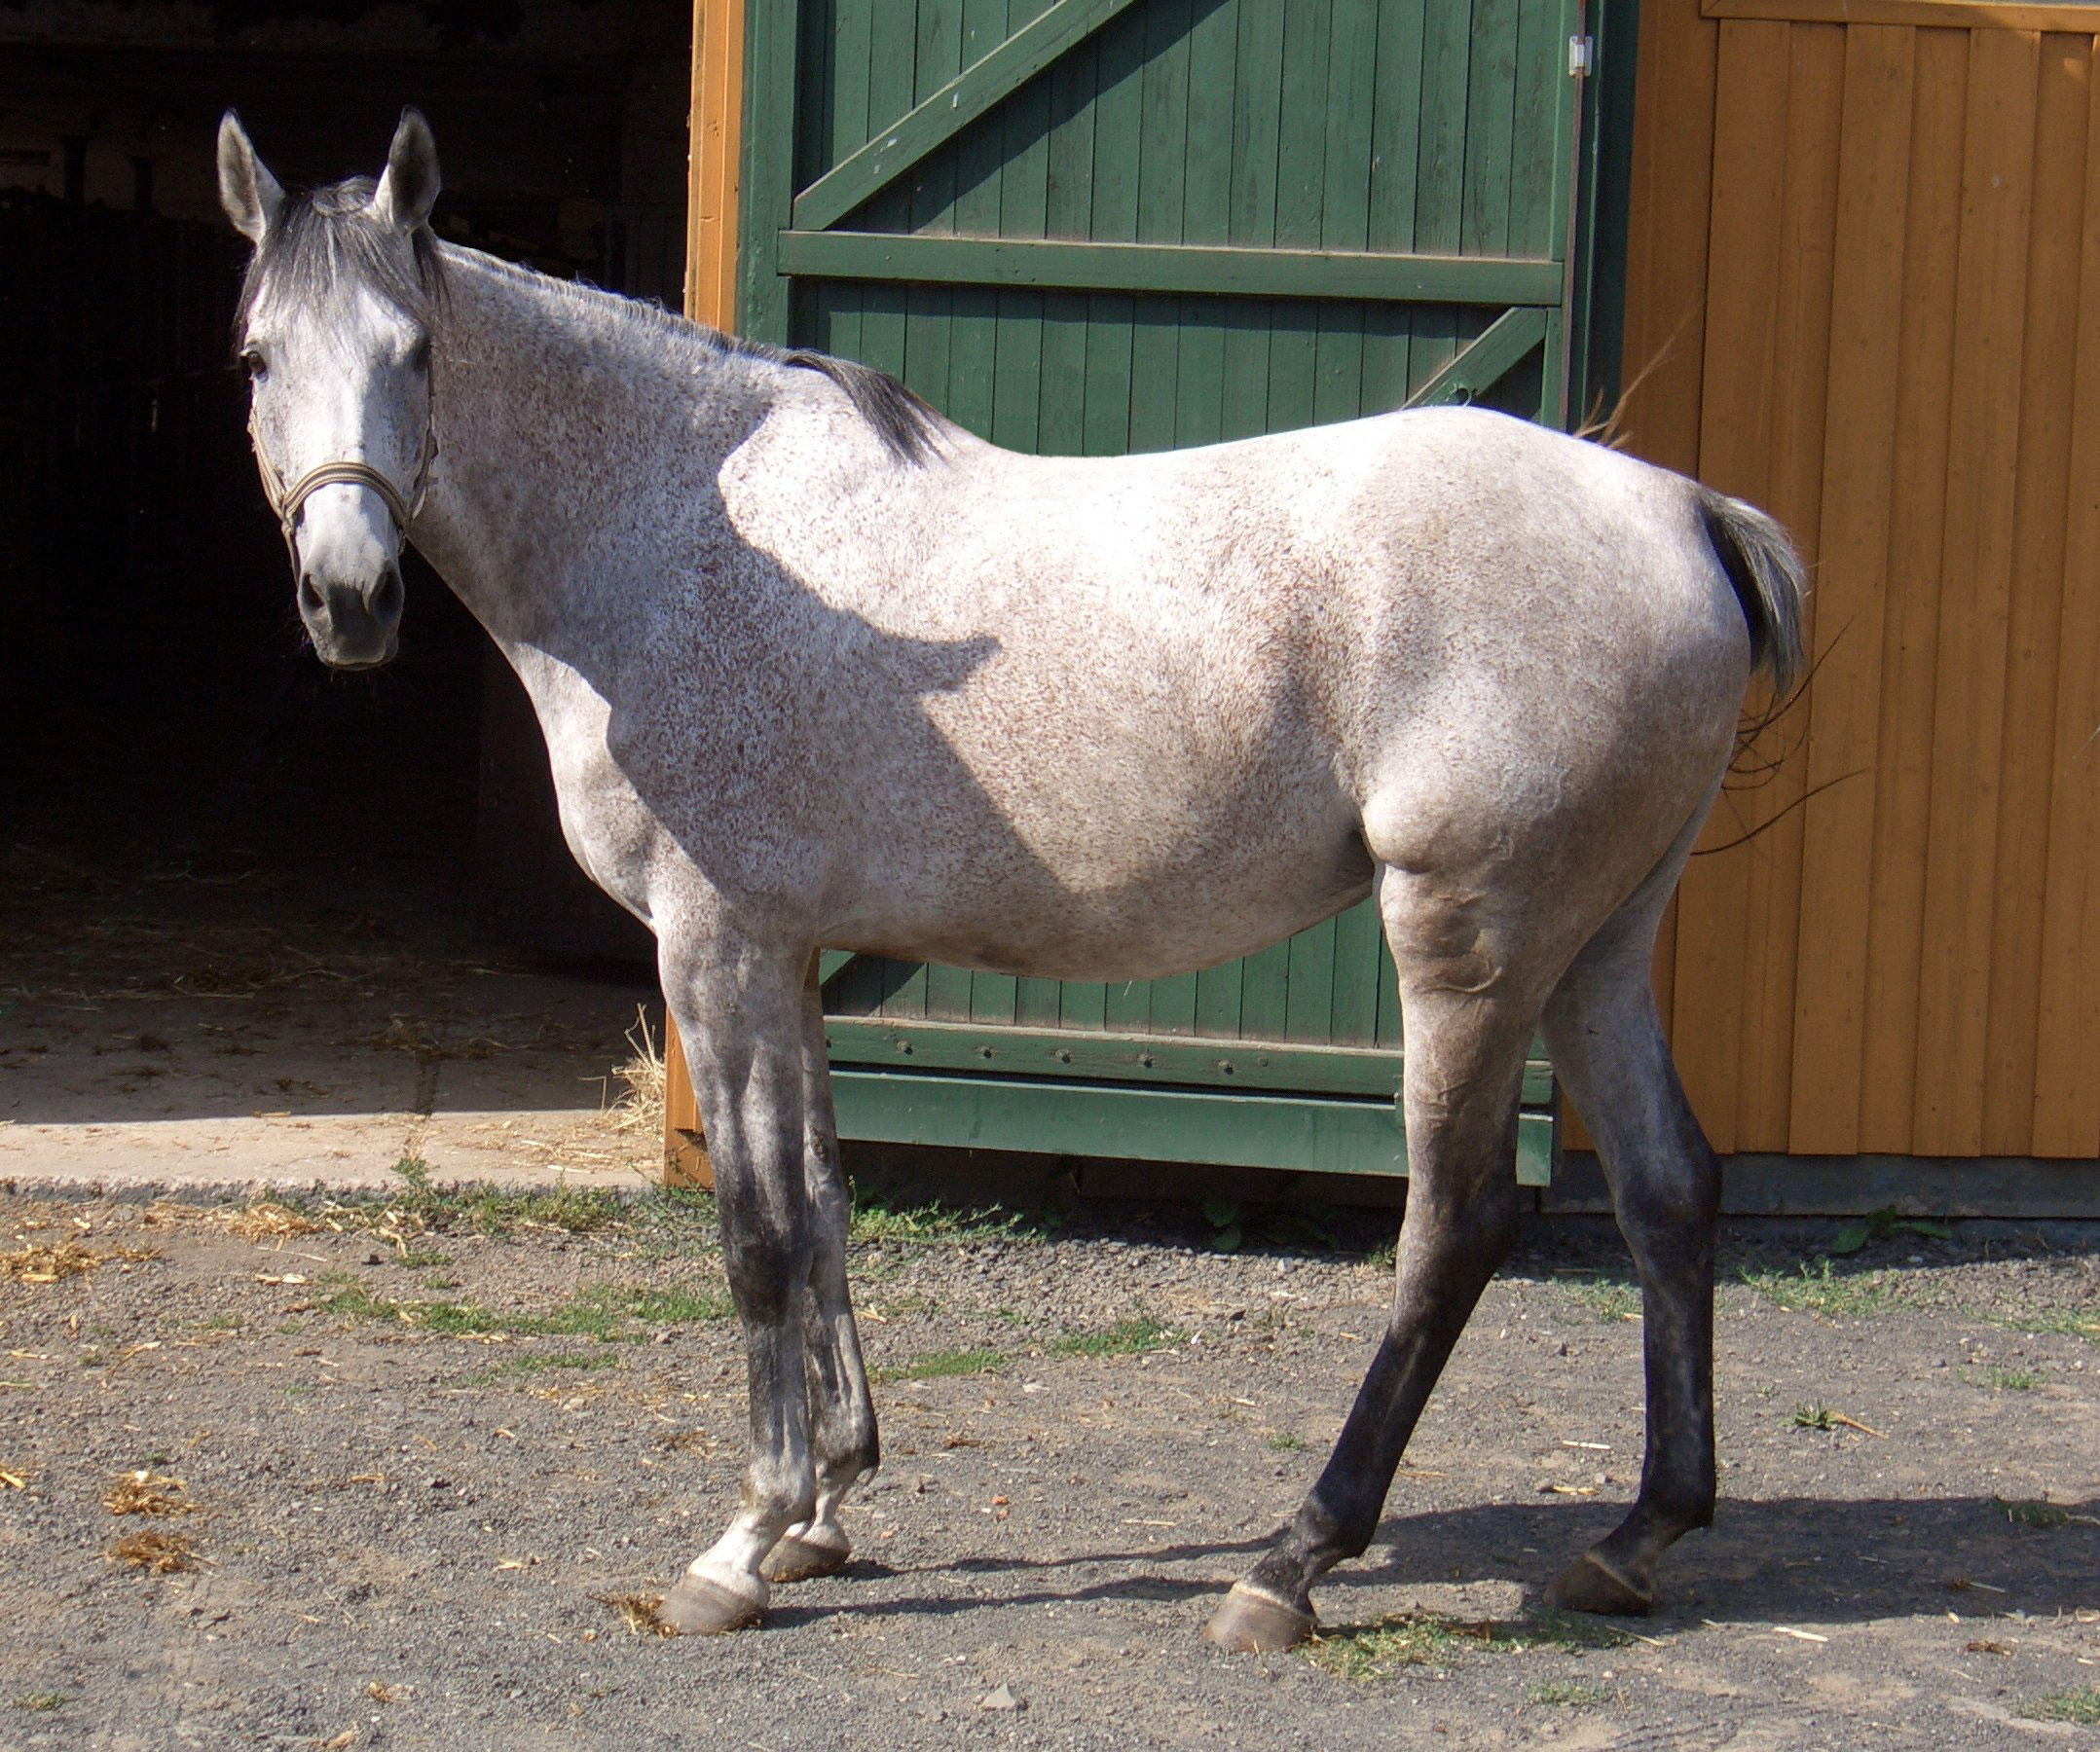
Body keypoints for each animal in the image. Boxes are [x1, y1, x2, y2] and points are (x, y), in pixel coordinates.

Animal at [225, 116, 1806, 1647]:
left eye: (414, 351)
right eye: (256, 357)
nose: (349, 599)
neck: (669, 537)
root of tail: (1682, 509)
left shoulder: (714, 949)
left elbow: (754, 1237)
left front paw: (742, 1544)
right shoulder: (788, 958)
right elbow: (822, 1204)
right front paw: (824, 1511)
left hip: (1472, 944)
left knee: (1454, 1227)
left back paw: (1290, 1564)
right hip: (1595, 949)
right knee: (1670, 1192)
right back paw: (1632, 1542)